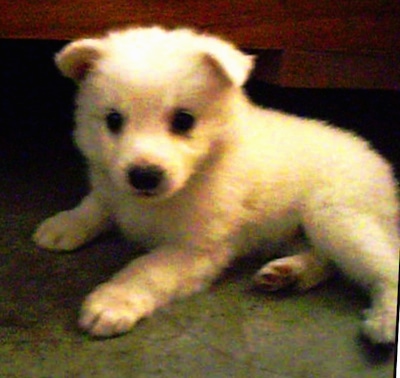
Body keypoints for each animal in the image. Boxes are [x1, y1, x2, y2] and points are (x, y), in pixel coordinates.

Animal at [33, 26, 396, 342]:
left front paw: (112, 301)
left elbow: (145, 269)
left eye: (183, 120)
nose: (144, 176)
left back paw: (385, 319)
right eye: (113, 120)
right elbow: (96, 204)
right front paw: (64, 226)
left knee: (386, 264)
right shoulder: (113, 188)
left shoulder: (197, 248)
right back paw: (289, 273)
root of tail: (377, 159)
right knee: (324, 260)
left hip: (338, 218)